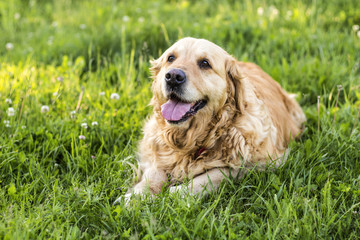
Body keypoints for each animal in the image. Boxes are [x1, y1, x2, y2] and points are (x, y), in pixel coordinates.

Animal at [114, 38, 304, 204]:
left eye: (205, 63)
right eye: (171, 58)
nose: (173, 76)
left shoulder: (266, 161)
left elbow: (219, 173)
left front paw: (180, 192)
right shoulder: (156, 151)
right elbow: (154, 172)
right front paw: (138, 196)